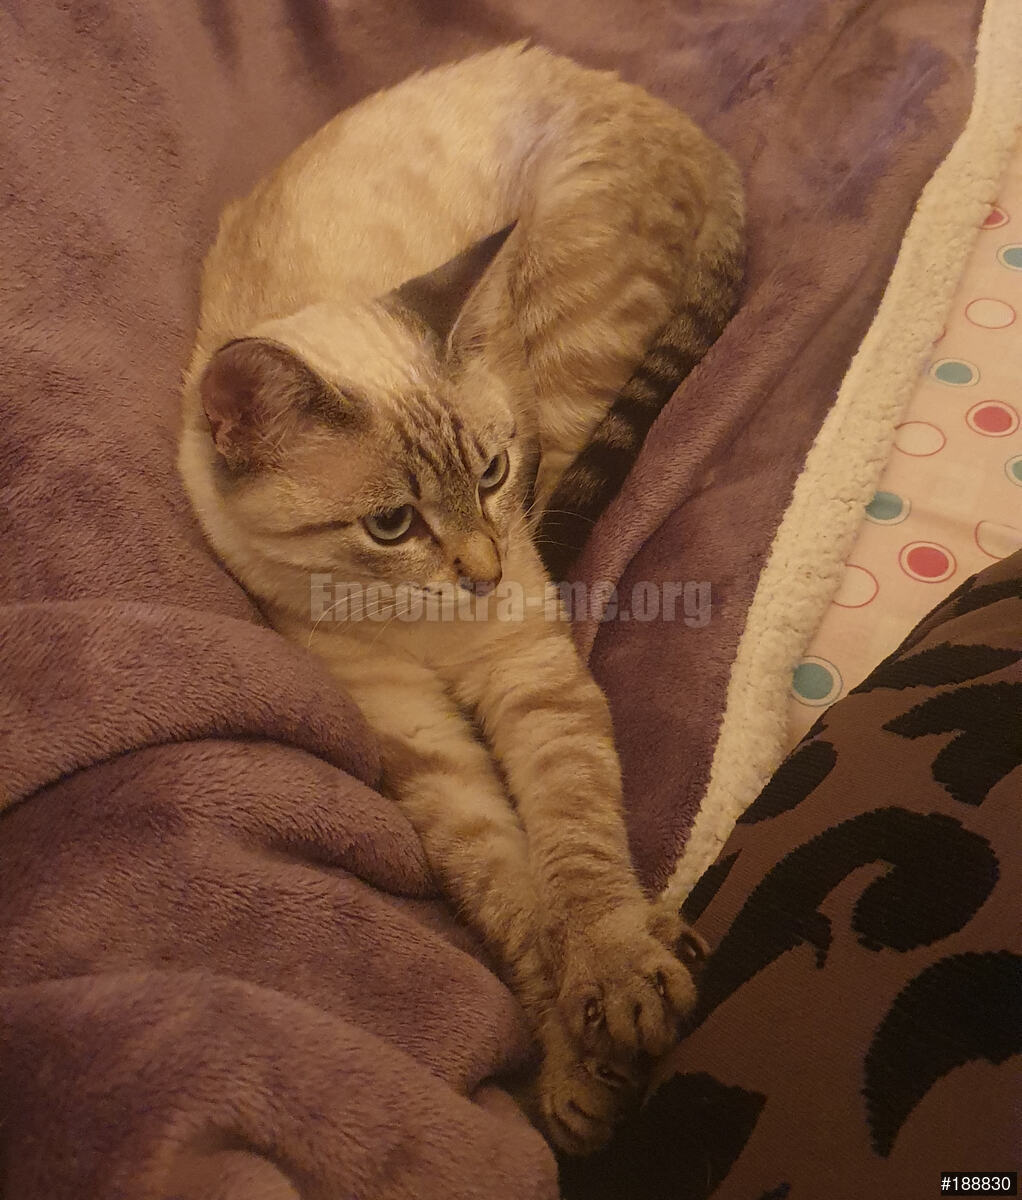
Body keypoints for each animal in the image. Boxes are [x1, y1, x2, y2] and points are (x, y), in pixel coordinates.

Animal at [178, 42, 743, 1154]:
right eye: (392, 525)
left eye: (487, 473)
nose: (481, 570)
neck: (421, 625)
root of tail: (670, 118)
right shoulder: (420, 744)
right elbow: (513, 902)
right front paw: (575, 1065)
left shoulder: (527, 667)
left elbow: (576, 848)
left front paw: (622, 975)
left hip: (567, 364)